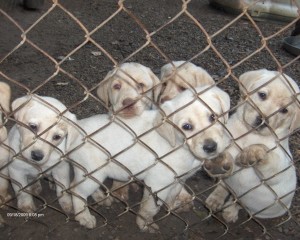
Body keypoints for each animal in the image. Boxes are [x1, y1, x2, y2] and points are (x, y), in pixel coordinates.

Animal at [206, 69, 300, 223]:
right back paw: (216, 198)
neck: (250, 134)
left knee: (239, 204)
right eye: (262, 95)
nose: (263, 121)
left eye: (284, 110)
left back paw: (230, 211)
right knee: (224, 186)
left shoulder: (279, 165)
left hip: (258, 209)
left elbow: (270, 158)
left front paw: (254, 152)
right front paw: (217, 160)